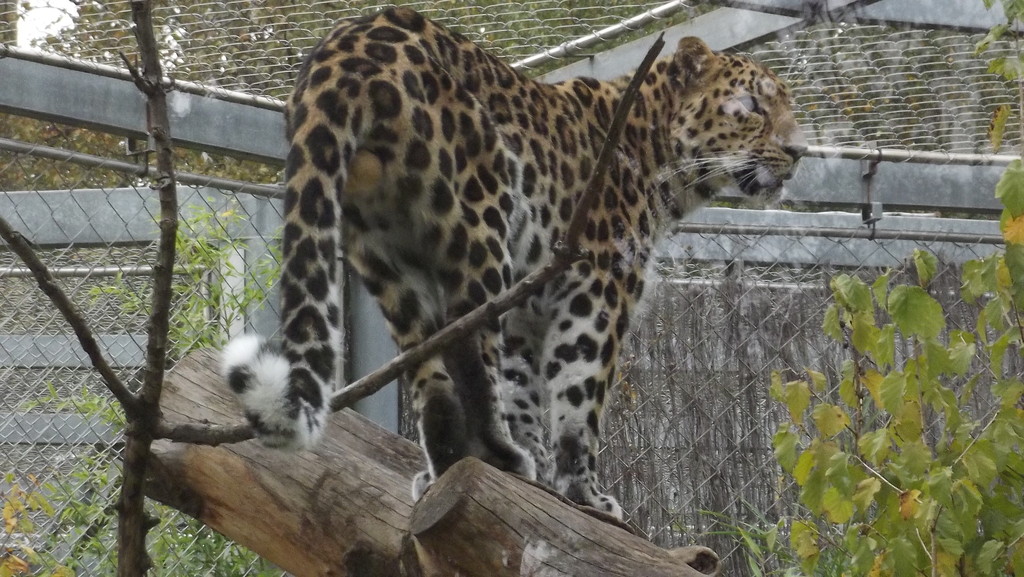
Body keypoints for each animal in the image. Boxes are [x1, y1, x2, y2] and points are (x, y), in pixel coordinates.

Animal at [222, 6, 805, 520]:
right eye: (752, 105)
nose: (799, 152)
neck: (659, 156)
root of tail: (345, 45)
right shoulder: (599, 284)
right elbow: (579, 395)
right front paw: (585, 492)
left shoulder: (528, 306)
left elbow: (523, 388)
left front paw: (543, 471)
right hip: (480, 212)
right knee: (468, 343)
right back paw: (497, 452)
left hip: (383, 254)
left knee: (429, 368)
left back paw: (451, 465)